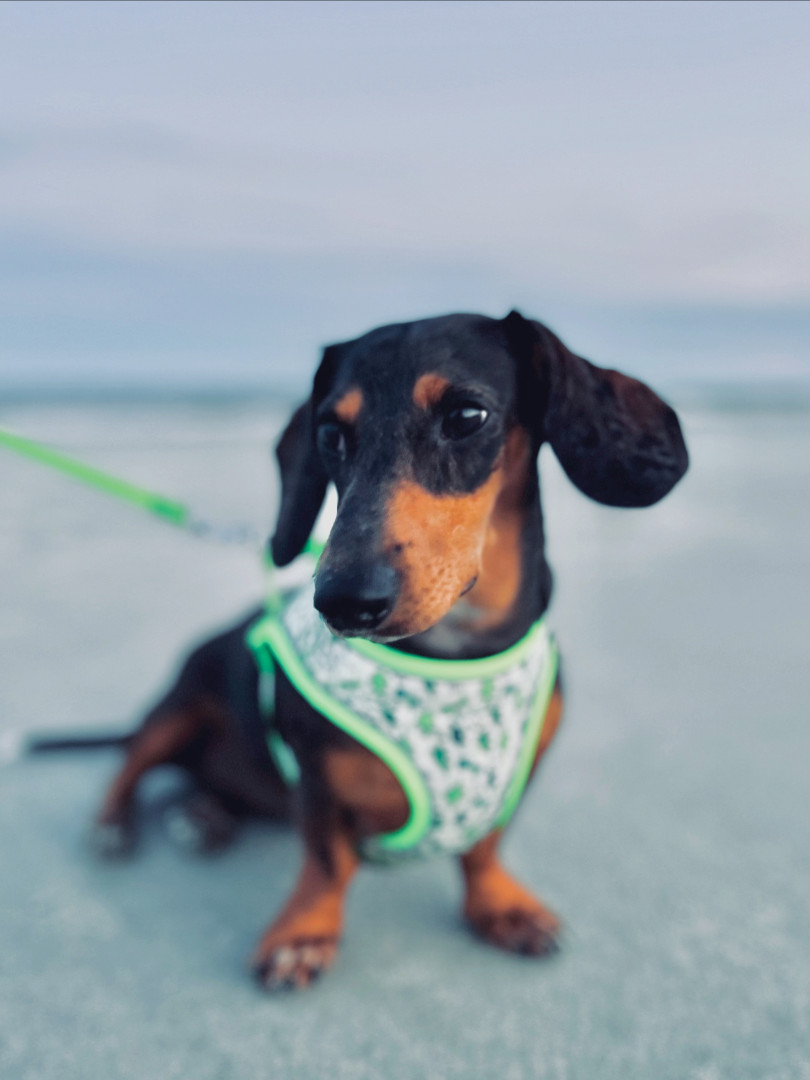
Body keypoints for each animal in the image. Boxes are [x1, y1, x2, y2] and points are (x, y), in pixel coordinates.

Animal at [90, 310, 689, 991]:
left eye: (467, 416)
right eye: (329, 432)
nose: (344, 601)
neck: (454, 656)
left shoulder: (519, 772)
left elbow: (485, 846)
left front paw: (499, 905)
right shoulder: (316, 780)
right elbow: (326, 859)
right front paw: (303, 933)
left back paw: (204, 814)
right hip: (180, 701)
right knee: (133, 760)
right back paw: (117, 825)